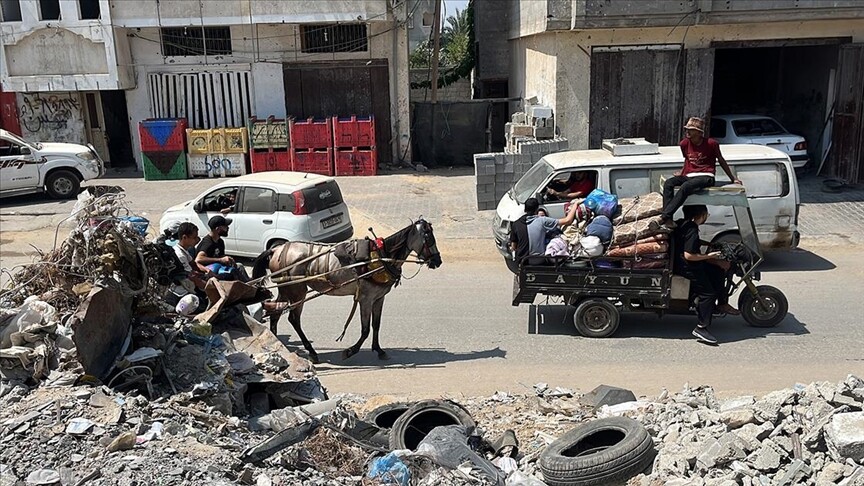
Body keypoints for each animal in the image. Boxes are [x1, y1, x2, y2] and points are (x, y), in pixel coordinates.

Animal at [248, 218, 438, 362]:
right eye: (428, 238)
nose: (438, 261)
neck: (381, 257)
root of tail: (276, 249)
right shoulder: (365, 299)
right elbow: (365, 329)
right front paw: (350, 351)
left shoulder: (379, 298)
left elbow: (376, 325)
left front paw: (379, 350)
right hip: (297, 291)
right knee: (293, 319)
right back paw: (311, 352)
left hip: (286, 289)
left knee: (275, 312)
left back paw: (278, 344)